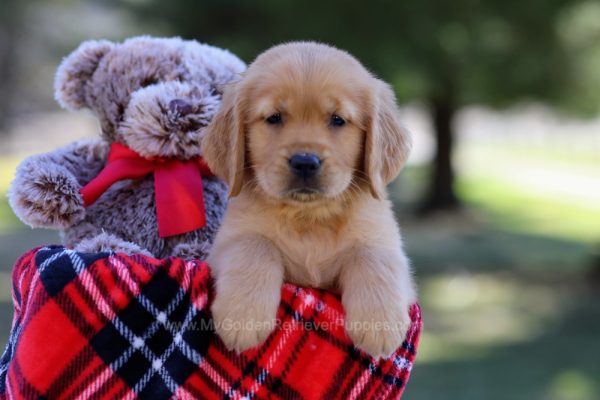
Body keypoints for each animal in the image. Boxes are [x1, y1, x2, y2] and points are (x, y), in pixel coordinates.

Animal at [202, 42, 418, 358]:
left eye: (338, 120)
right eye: (274, 117)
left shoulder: (384, 242)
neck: (309, 217)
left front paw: (379, 324)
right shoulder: (227, 242)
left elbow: (373, 256)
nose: (305, 162)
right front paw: (242, 318)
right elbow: (254, 246)